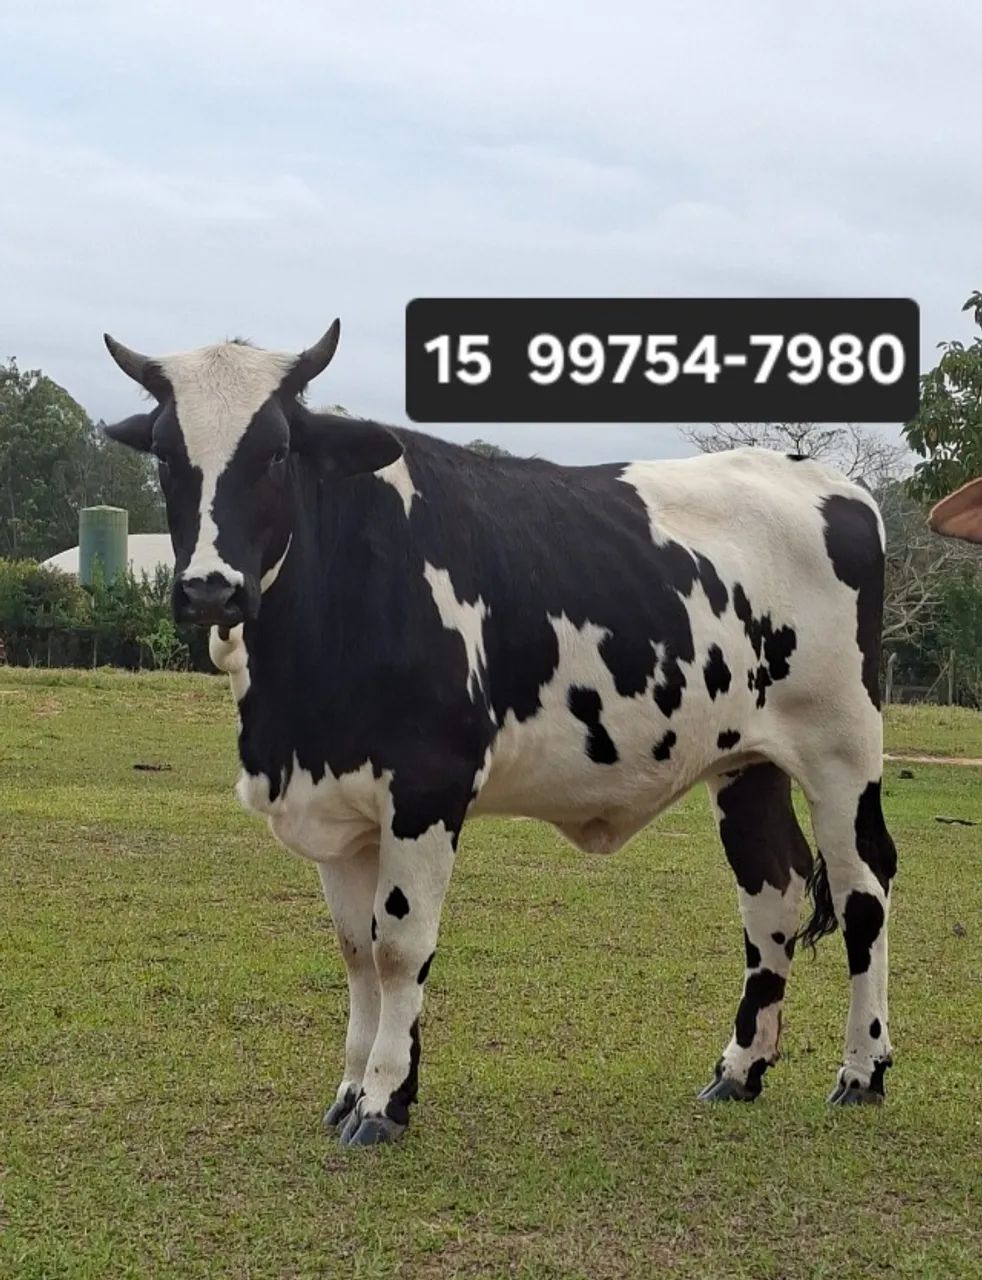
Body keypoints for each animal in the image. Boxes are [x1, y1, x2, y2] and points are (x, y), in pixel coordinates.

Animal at [103, 324, 898, 1147]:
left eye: (277, 451)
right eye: (165, 453)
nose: (210, 589)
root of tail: (828, 484)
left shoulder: (428, 786)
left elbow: (399, 948)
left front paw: (383, 1101)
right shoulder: (338, 804)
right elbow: (356, 952)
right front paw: (352, 1089)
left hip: (843, 751)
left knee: (864, 892)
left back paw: (861, 1072)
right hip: (744, 761)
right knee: (770, 888)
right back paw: (740, 1069)